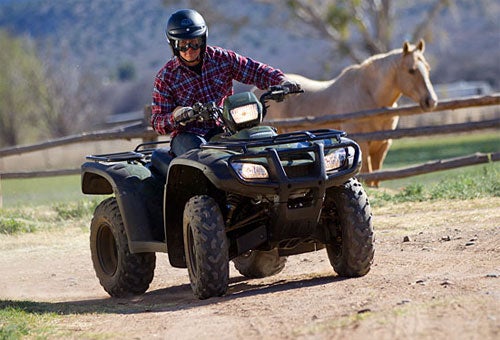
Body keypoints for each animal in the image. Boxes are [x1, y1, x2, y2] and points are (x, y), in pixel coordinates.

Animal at [264, 40, 436, 187]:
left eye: (428, 68)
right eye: (411, 70)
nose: (431, 101)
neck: (369, 94)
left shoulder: (383, 145)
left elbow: (376, 179)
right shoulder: (363, 144)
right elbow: (368, 177)